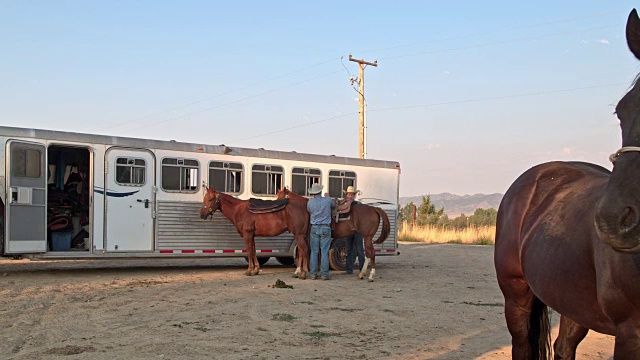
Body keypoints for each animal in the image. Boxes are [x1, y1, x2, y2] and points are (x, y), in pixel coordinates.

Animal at [496, 9, 640, 360]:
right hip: (517, 296)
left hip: (572, 301)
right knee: (522, 345)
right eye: (622, 109)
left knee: (564, 347)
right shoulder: (630, 332)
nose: (615, 221)